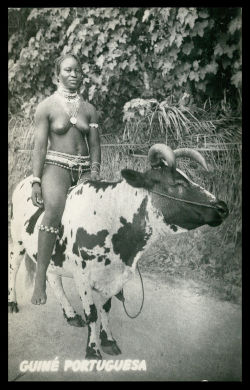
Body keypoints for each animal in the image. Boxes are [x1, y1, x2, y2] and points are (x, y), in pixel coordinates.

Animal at [8, 143, 229, 360]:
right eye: (178, 184)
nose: (223, 207)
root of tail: (25, 181)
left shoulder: (113, 276)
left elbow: (105, 309)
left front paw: (108, 340)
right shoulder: (82, 275)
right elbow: (92, 313)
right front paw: (93, 350)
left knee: (53, 277)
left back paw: (70, 314)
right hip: (17, 242)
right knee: (14, 269)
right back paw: (13, 302)